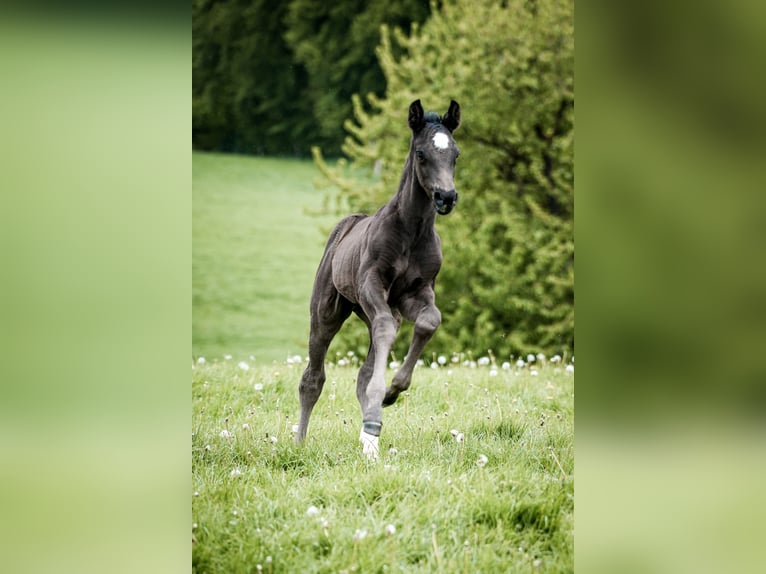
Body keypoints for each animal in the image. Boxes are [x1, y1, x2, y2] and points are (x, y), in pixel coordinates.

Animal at [296, 99, 462, 460]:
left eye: (455, 154)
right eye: (421, 154)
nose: (446, 197)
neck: (411, 232)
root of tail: (348, 224)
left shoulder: (416, 293)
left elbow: (429, 321)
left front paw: (390, 394)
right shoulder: (373, 285)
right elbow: (384, 329)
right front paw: (380, 401)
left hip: (382, 310)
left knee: (363, 371)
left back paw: (369, 437)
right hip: (327, 311)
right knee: (313, 377)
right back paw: (299, 441)